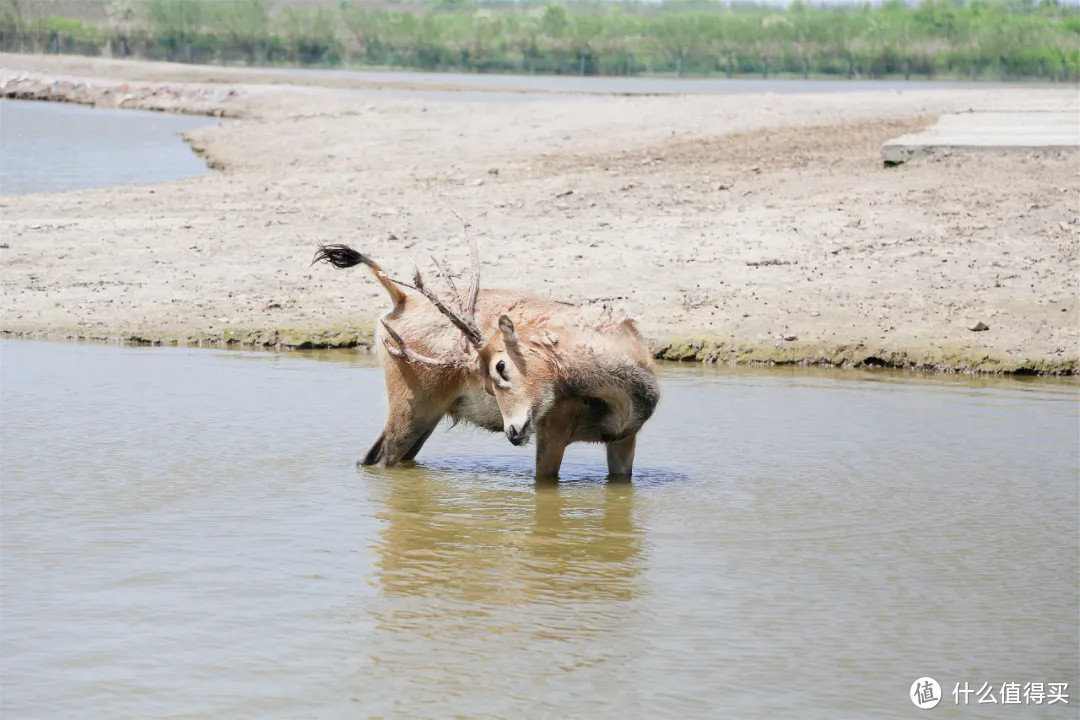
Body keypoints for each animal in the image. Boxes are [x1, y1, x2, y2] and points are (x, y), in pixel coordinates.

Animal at [313, 223, 656, 483]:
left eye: (500, 368)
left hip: (429, 414)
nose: (513, 432)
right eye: (490, 381)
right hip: (411, 404)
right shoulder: (551, 430)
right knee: (377, 458)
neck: (619, 396)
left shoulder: (625, 436)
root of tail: (400, 300)